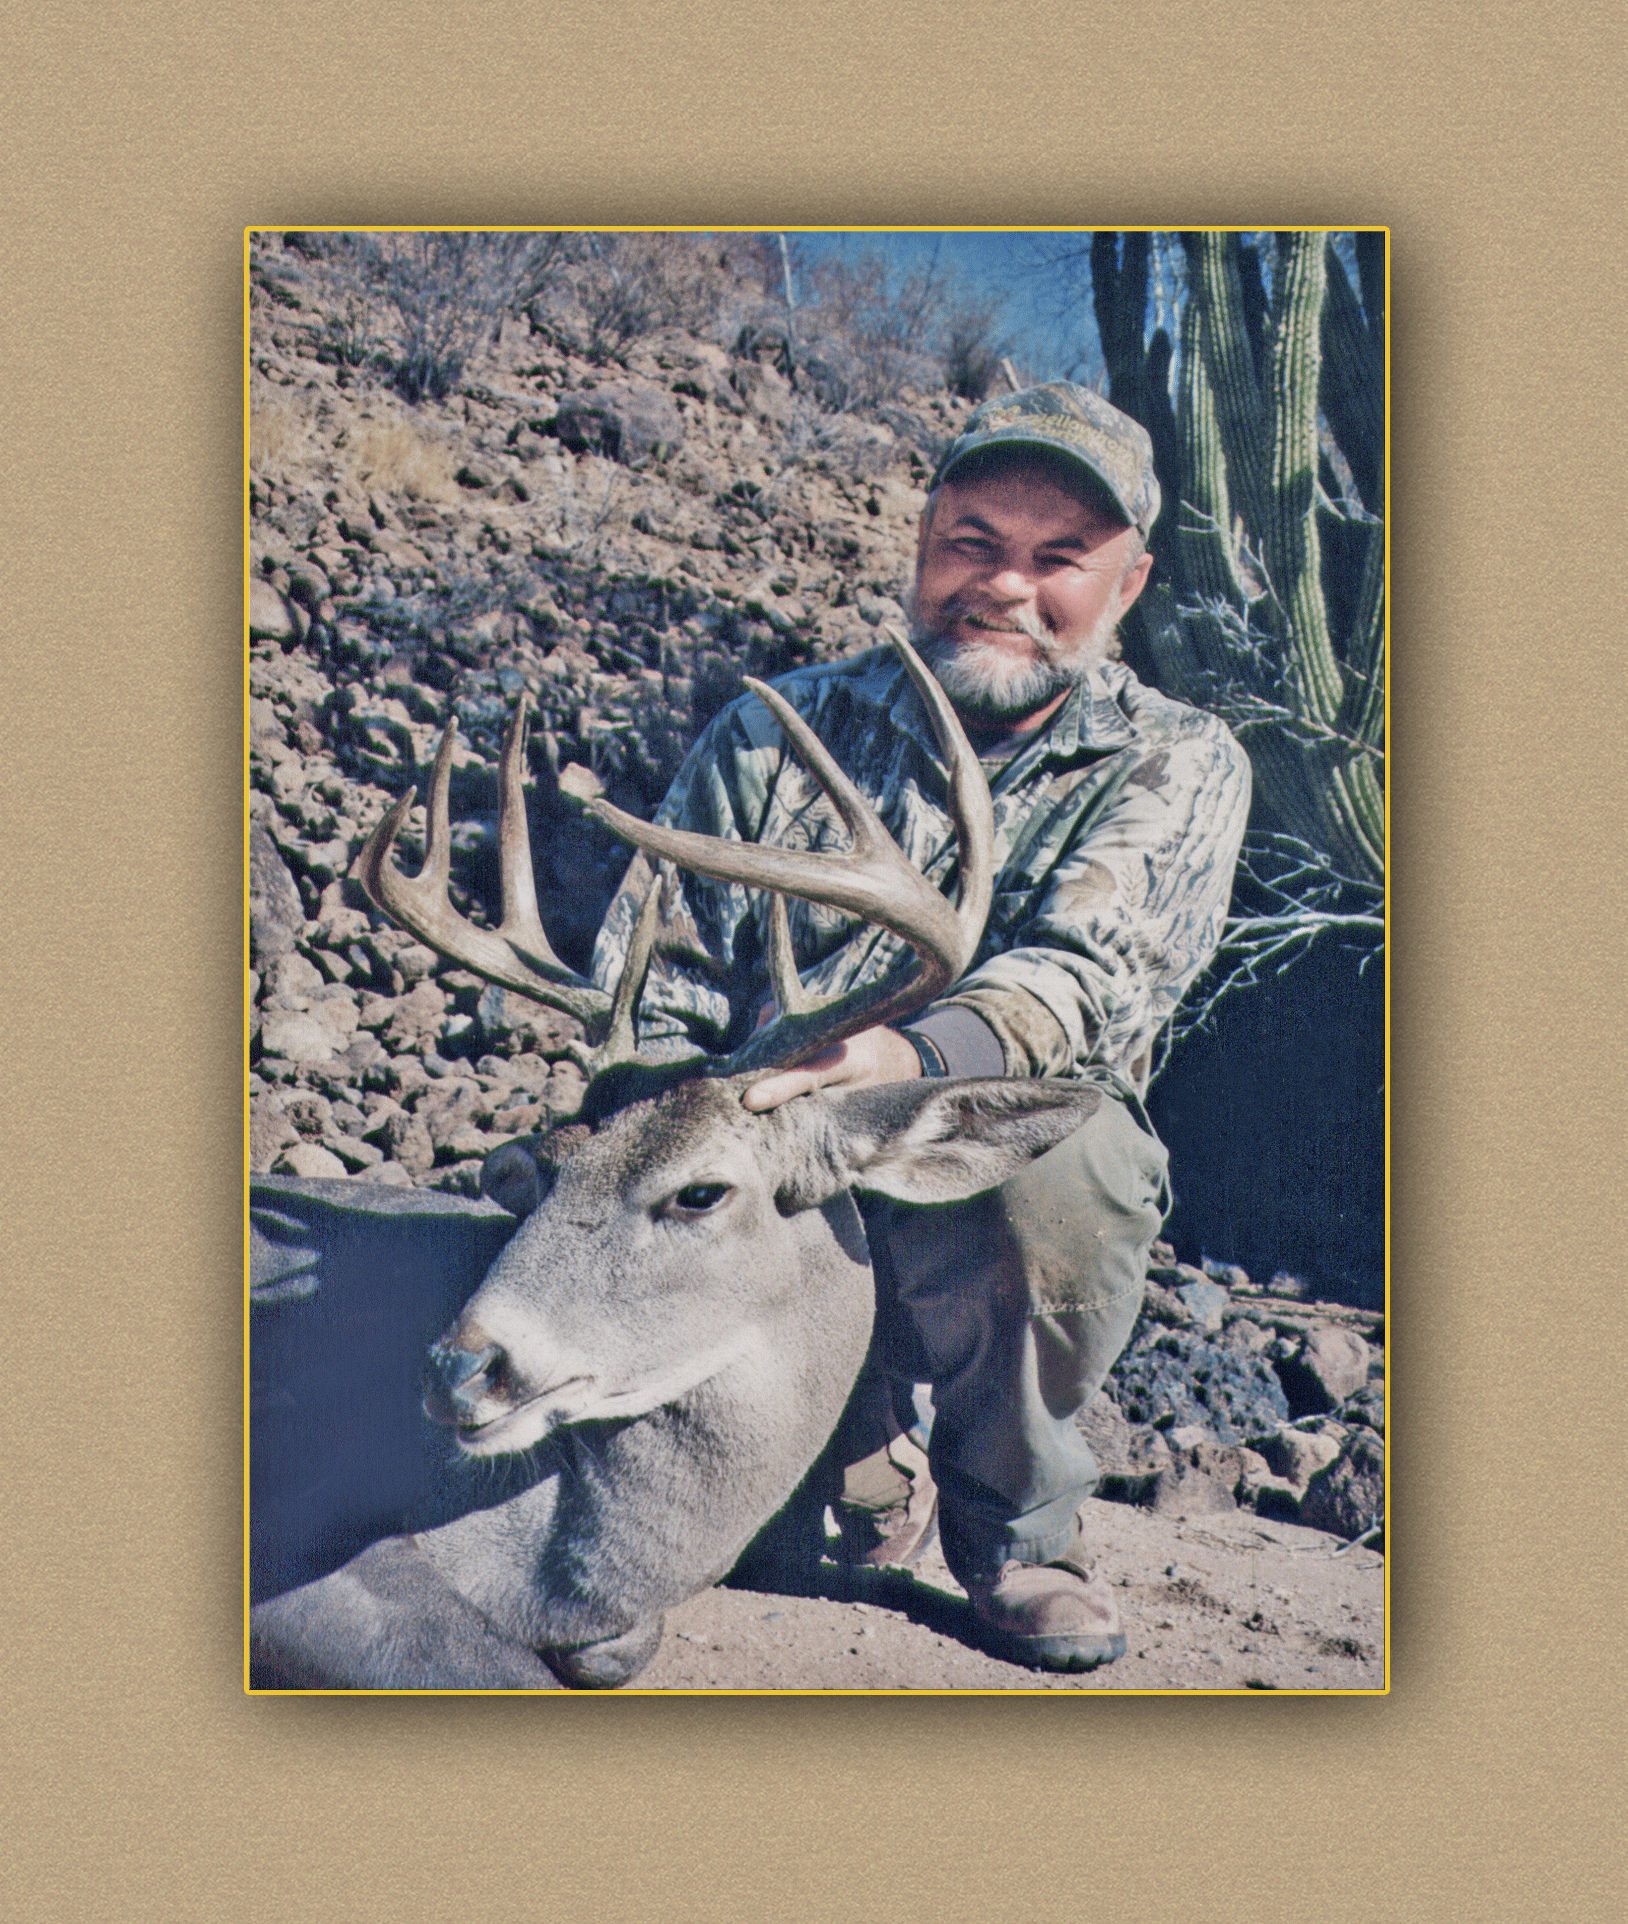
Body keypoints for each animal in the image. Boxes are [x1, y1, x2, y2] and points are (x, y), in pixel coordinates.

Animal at [248, 633, 1112, 1689]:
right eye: (541, 1169)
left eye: (701, 1192)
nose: (461, 1369)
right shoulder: (296, 1512)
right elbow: (494, 1665)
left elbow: (605, 1651)